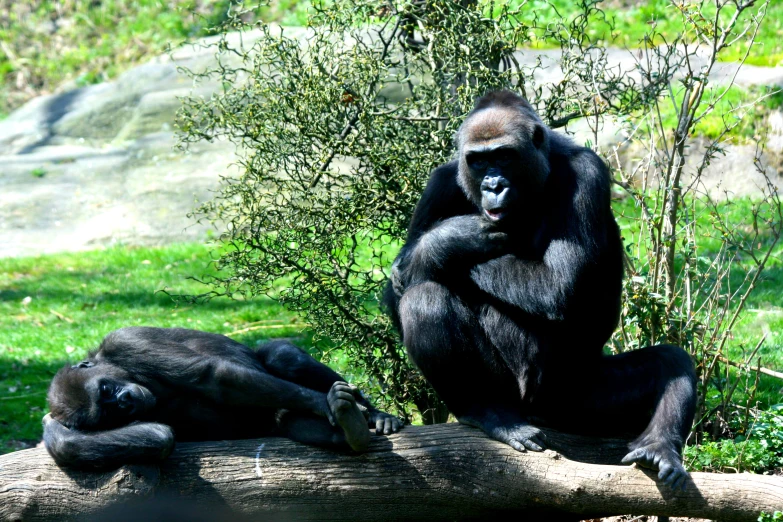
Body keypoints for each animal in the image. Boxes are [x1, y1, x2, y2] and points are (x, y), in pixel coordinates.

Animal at [43, 324, 402, 468]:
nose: (124, 402)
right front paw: (53, 429)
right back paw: (351, 431)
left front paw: (325, 402)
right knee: (288, 422)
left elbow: (213, 376)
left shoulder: (126, 341)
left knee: (283, 356)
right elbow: (158, 438)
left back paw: (372, 414)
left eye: (106, 390)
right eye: (107, 414)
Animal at [386, 90, 700, 488]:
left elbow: (557, 286)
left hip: (578, 397)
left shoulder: (586, 173)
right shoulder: (440, 183)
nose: (493, 185)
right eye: (478, 161)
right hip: (517, 397)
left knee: (670, 362)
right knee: (424, 298)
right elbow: (398, 288)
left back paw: (658, 446)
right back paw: (487, 411)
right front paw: (448, 240)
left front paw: (439, 245)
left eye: (503, 155)